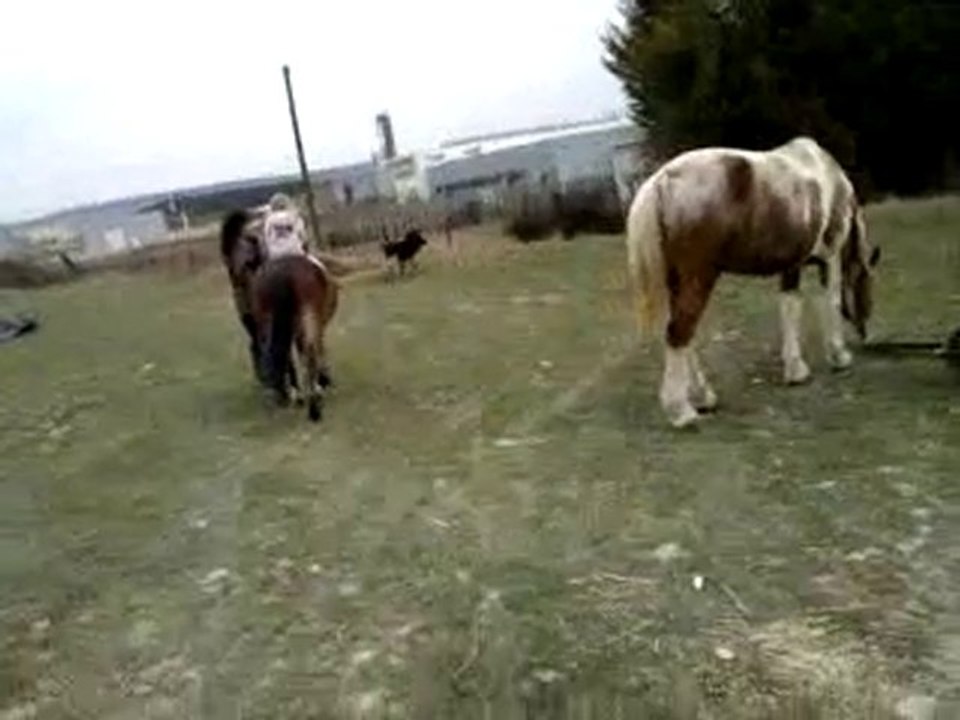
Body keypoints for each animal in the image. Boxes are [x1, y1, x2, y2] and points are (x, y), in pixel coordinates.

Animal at [625, 136, 881, 428]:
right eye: (867, 287)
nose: (866, 335)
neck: (827, 175)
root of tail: (662, 180)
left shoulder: (792, 265)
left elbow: (790, 307)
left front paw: (795, 369)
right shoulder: (831, 256)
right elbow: (831, 301)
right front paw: (839, 356)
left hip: (677, 280)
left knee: (682, 332)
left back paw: (703, 397)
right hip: (699, 277)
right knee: (679, 332)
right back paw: (681, 411)